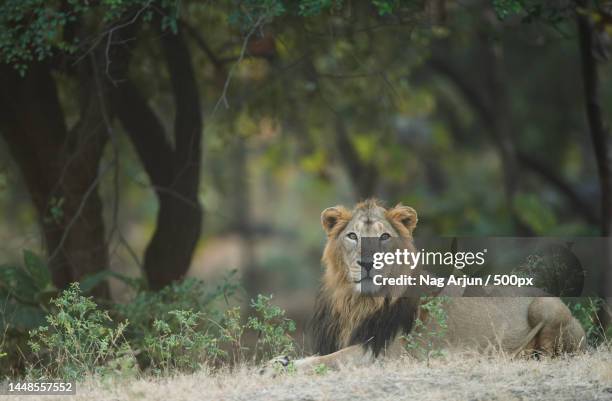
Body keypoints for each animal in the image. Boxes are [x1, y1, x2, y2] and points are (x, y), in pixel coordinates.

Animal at [260, 198, 584, 374]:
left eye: (384, 237)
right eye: (352, 236)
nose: (367, 262)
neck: (358, 302)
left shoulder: (383, 353)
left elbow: (327, 361)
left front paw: (283, 368)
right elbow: (315, 356)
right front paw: (278, 361)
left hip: (545, 307)